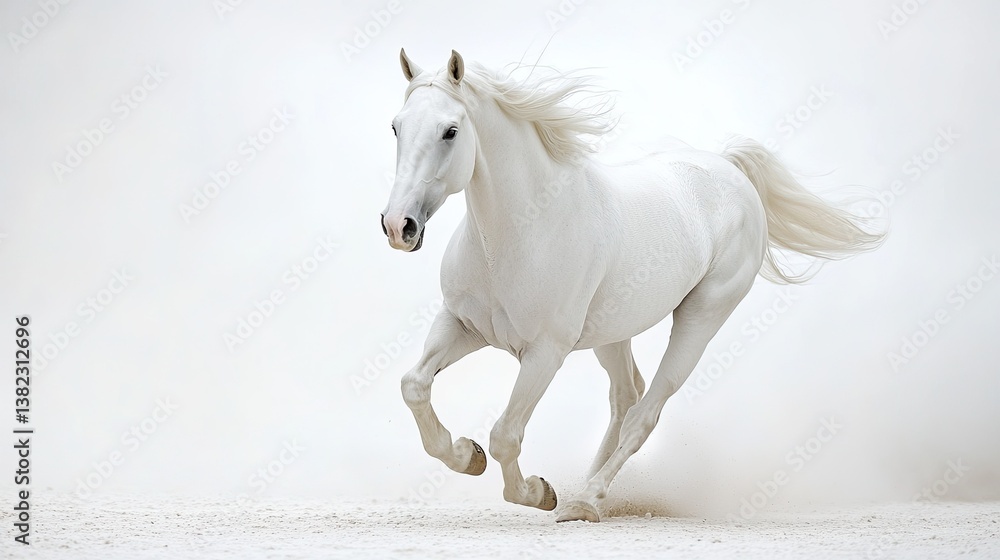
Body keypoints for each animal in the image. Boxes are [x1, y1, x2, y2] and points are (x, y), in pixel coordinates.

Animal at [380, 49, 884, 522]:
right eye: (396, 126)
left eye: (450, 131)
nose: (398, 226)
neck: (521, 231)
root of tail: (730, 169)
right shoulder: (463, 326)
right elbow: (413, 386)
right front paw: (467, 456)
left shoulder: (545, 352)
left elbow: (505, 434)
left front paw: (538, 492)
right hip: (611, 334)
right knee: (626, 398)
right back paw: (584, 492)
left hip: (700, 319)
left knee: (644, 414)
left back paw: (584, 501)